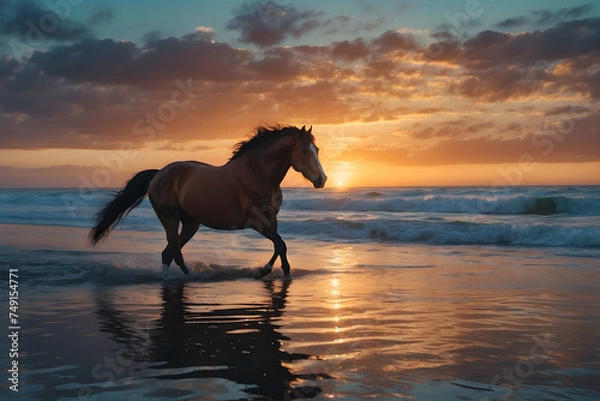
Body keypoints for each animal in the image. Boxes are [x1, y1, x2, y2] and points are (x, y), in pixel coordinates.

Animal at [86, 125, 326, 278]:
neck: (257, 174)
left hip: (191, 223)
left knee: (168, 253)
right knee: (174, 253)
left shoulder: (271, 219)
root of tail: (159, 173)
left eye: (317, 149)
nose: (322, 180)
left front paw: (276, 272)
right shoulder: (256, 222)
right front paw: (265, 271)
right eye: (304, 150)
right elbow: (280, 243)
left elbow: (279, 245)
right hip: (169, 219)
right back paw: (188, 277)